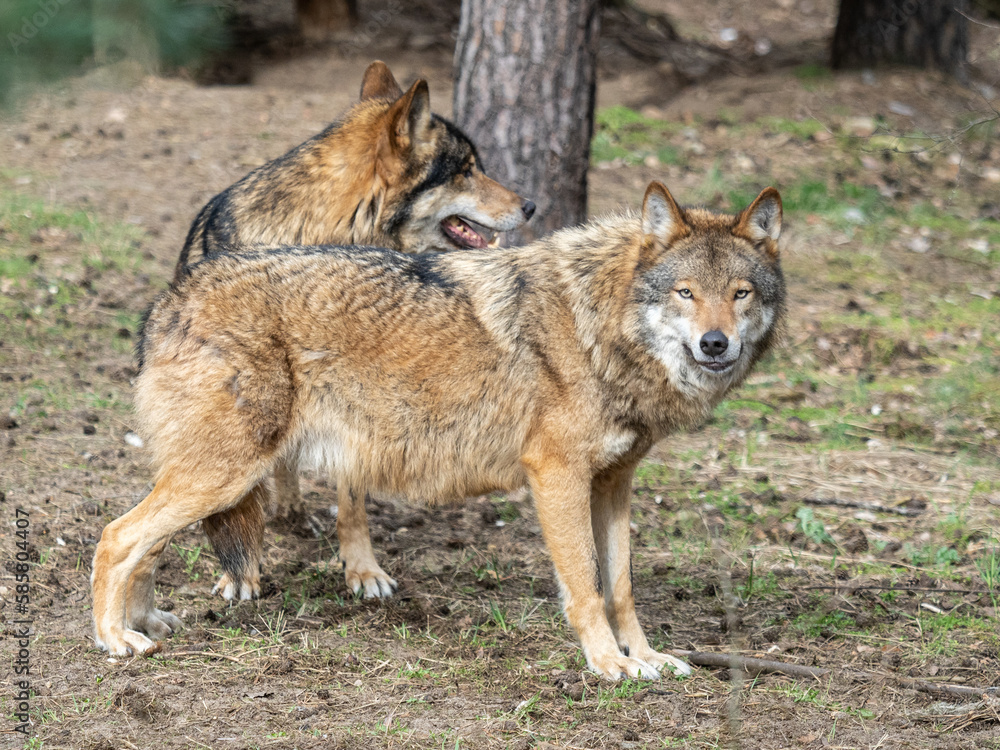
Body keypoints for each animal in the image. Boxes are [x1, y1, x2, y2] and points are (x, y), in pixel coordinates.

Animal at [92, 183, 785, 680]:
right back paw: (113, 639)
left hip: (213, 477)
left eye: (741, 294)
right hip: (224, 474)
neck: (602, 328)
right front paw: (607, 664)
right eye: (685, 293)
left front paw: (645, 658)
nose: (715, 343)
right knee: (114, 536)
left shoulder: (614, 483)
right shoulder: (557, 476)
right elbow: (586, 587)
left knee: (142, 544)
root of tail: (171, 295)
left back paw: (147, 624)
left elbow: (620, 588)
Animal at [173, 61, 534, 597]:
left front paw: (363, 570)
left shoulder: (361, 402)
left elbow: (353, 502)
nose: (531, 206)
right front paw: (240, 572)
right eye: (467, 170)